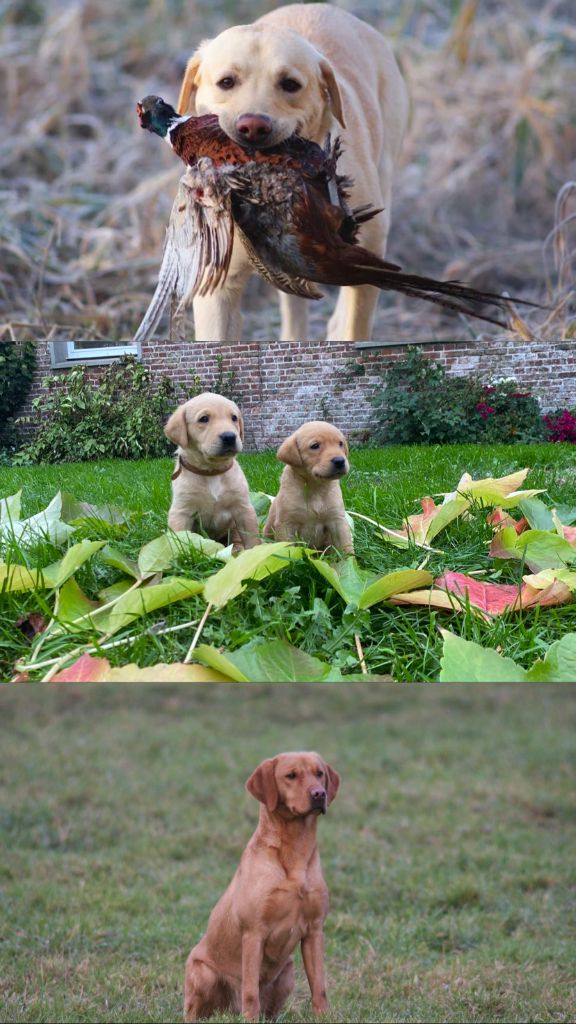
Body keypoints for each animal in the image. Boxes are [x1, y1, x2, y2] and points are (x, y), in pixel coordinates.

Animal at [163, 393, 258, 552]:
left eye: (234, 418)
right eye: (204, 419)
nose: (229, 436)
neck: (212, 471)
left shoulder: (244, 508)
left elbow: (252, 537)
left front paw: (257, 551)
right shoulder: (181, 511)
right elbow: (180, 539)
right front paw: (180, 556)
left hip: (233, 525)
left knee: (236, 537)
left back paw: (237, 548)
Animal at [181, 749, 338, 1019]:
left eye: (319, 773)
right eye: (291, 775)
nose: (319, 794)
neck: (295, 850)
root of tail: (229, 1010)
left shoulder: (315, 930)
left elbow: (319, 987)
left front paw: (323, 1017)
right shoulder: (254, 933)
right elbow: (250, 992)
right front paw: (249, 1019)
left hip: (286, 974)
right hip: (203, 974)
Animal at [264, 419, 352, 557]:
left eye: (340, 444)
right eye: (315, 446)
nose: (340, 461)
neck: (315, 486)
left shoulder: (337, 520)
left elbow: (346, 545)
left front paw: (351, 561)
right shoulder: (286, 524)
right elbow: (287, 549)